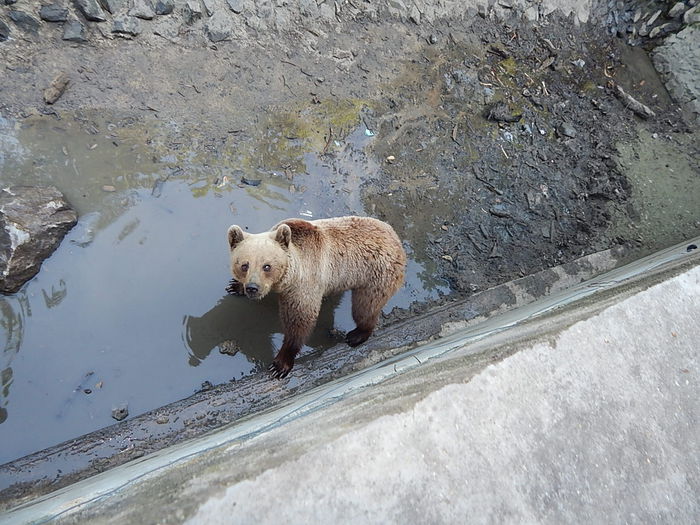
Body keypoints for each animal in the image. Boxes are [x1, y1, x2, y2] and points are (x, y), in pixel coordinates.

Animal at [227, 215, 408, 378]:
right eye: (244, 265)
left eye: (267, 266)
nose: (253, 288)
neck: (288, 278)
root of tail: (395, 238)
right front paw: (235, 286)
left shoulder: (304, 285)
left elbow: (299, 320)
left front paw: (280, 364)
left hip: (375, 275)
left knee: (365, 307)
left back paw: (356, 335)